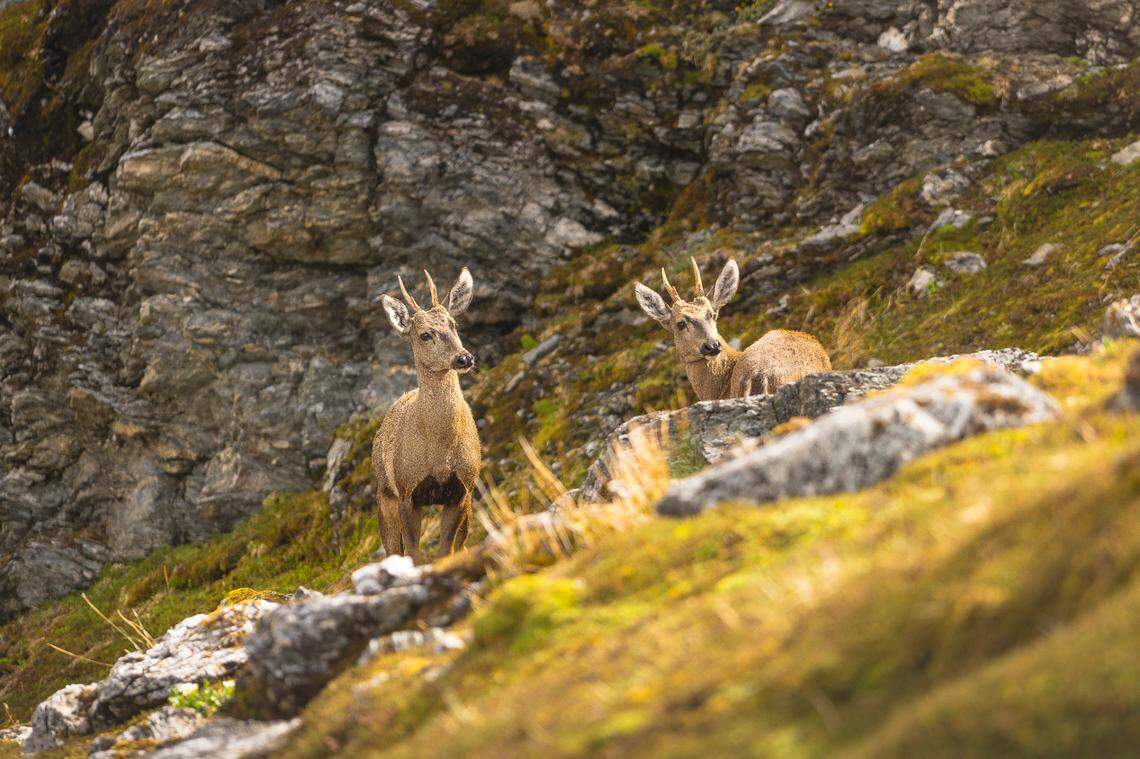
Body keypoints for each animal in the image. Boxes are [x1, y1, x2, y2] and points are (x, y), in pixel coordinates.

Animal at [371, 267, 480, 562]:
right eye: (424, 335)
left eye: (453, 325)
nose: (464, 358)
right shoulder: (407, 491)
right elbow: (413, 553)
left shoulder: (462, 490)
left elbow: (446, 550)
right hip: (385, 493)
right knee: (393, 550)